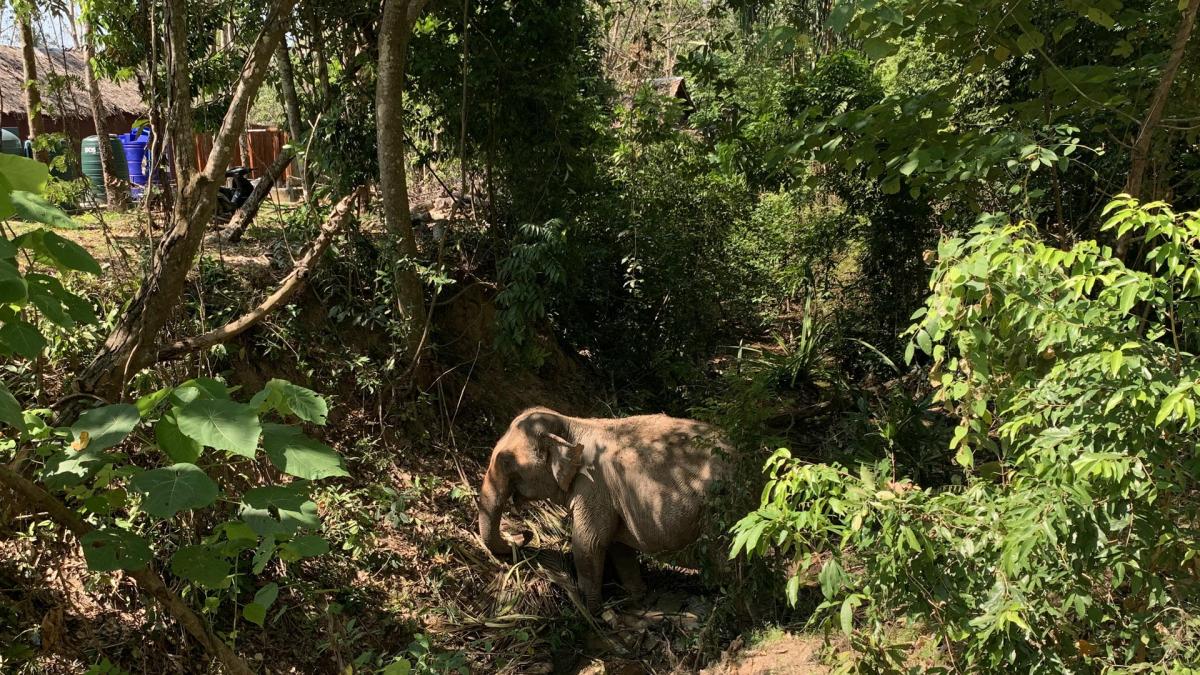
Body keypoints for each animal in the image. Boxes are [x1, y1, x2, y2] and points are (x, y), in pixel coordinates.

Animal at [477, 403, 729, 610]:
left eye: (506, 461)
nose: (526, 534)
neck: (573, 423)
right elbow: (618, 545)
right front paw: (637, 599)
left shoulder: (593, 485)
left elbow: (589, 544)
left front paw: (590, 610)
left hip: (717, 515)